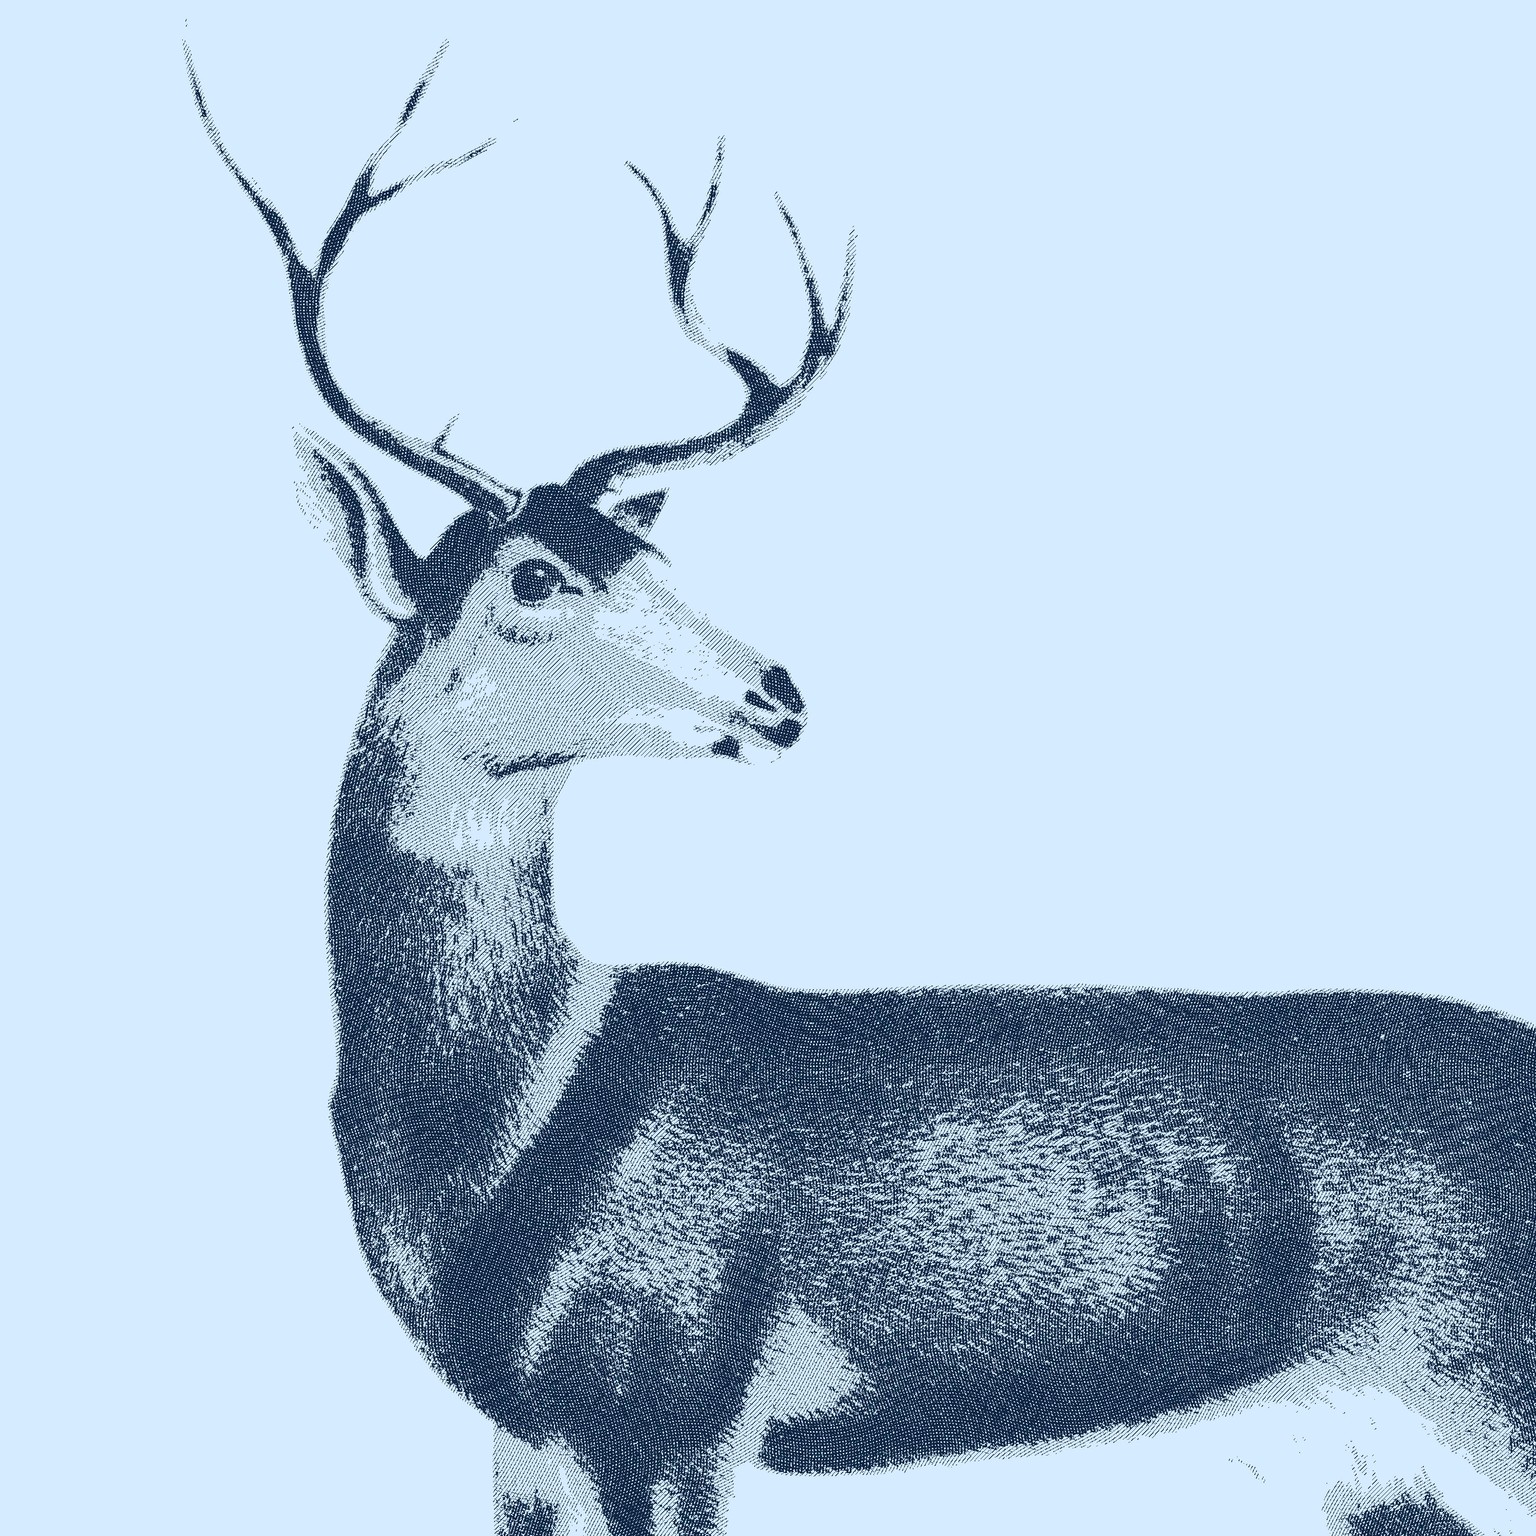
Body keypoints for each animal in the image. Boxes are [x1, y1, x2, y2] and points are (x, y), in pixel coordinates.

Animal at [188, 43, 1536, 1536]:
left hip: (1491, 1377)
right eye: (534, 577)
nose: (780, 693)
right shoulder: (526, 1438)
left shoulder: (668, 1394)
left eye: (652, 559)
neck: (505, 1129)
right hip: (1379, 1458)